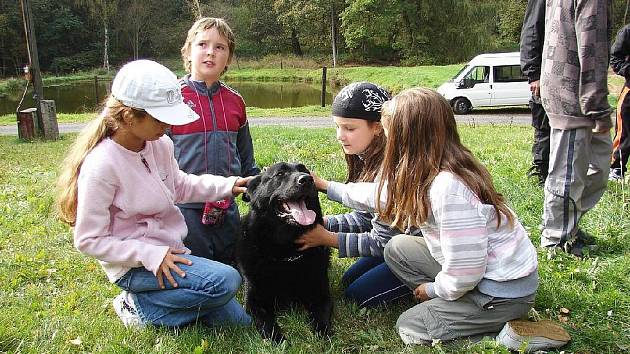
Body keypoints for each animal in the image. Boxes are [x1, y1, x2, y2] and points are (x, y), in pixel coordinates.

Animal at [238, 162, 336, 342]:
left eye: (304, 170)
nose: (307, 179)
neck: (285, 252)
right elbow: (266, 323)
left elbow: (321, 318)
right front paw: (278, 339)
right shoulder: (254, 302)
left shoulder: (321, 294)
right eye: (280, 173)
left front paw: (322, 334)